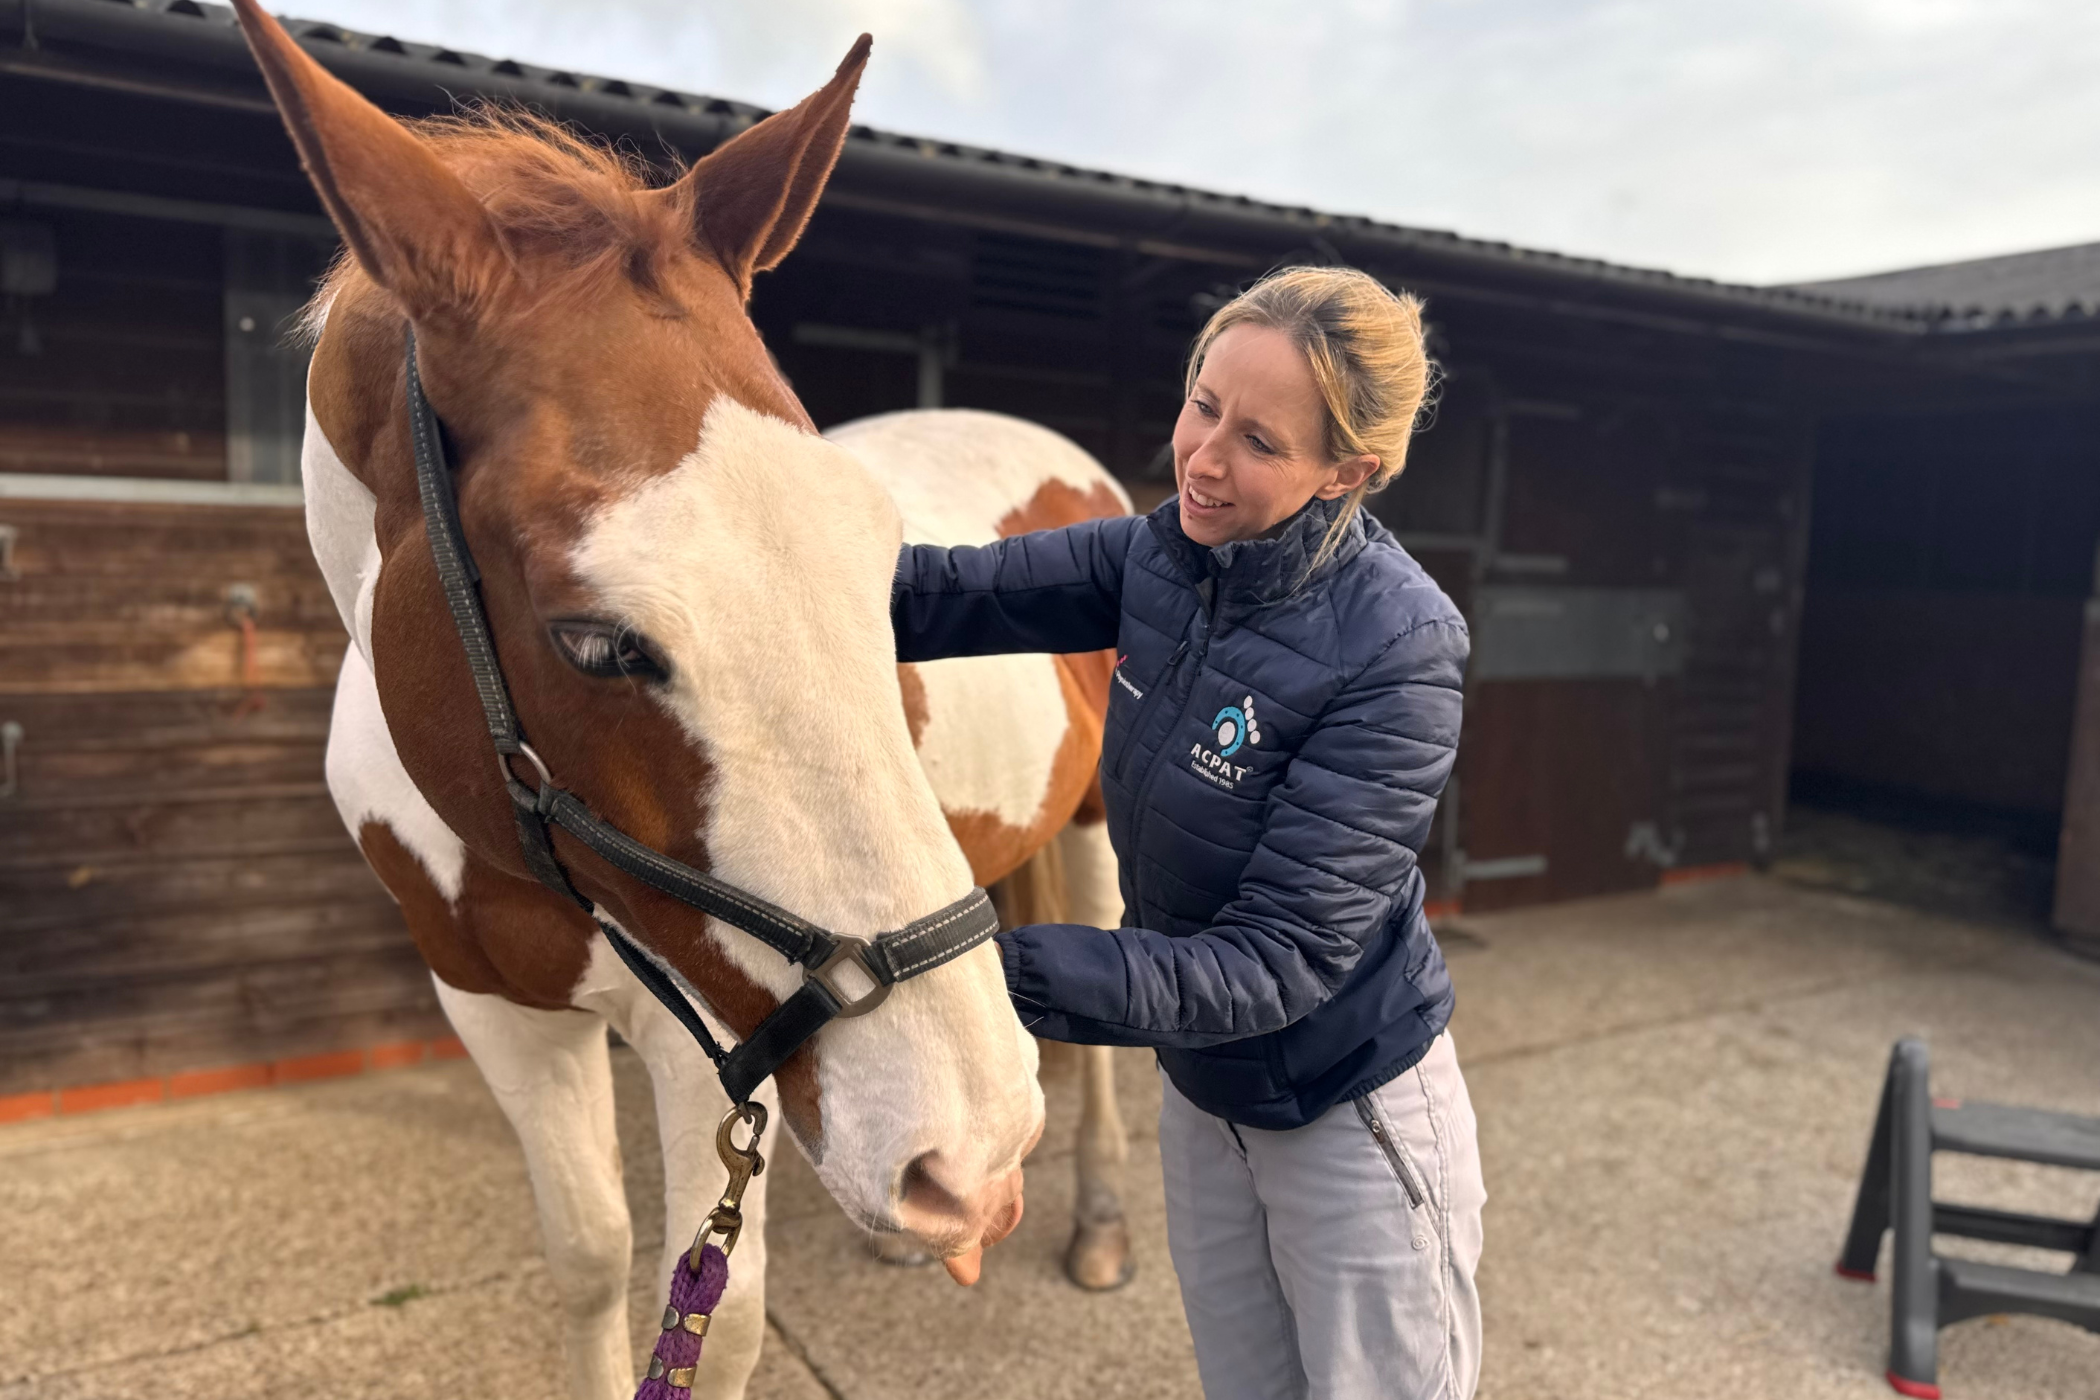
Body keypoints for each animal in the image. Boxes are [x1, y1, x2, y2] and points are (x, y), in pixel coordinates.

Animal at [228, 6, 1134, 1398]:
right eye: (594, 641)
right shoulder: (496, 1012)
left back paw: (1092, 1220)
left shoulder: (708, 1046)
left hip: (1089, 828)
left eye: (885, 571)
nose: (967, 1151)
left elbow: (722, 1309)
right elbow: (592, 1258)